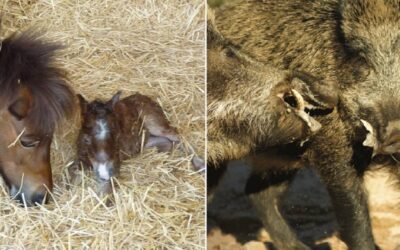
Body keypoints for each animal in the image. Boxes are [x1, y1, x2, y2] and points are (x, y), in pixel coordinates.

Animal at [70, 92, 205, 197]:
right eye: (86, 139)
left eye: (117, 135)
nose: (105, 173)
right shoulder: (80, 159)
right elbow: (72, 176)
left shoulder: (116, 164)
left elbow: (106, 191)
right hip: (145, 139)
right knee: (167, 142)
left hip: (154, 123)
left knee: (177, 136)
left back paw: (200, 165)